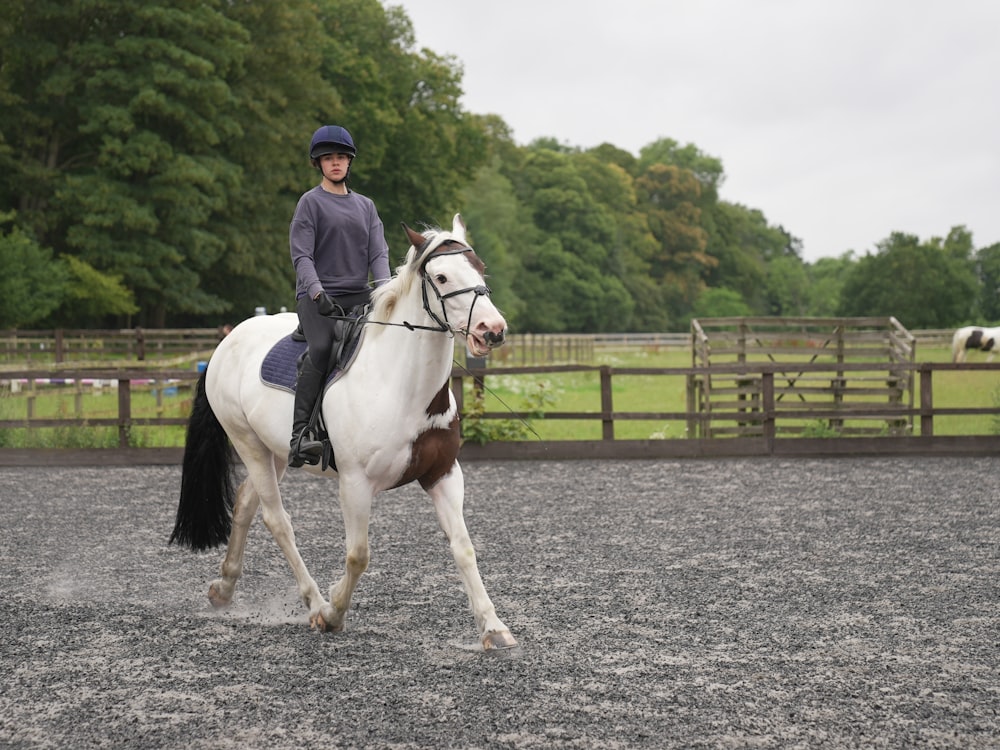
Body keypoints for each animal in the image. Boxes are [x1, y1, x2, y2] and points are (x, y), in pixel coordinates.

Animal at [169, 213, 516, 652]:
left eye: (479, 268)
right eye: (440, 277)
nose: (492, 329)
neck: (400, 386)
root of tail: (228, 341)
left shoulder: (443, 474)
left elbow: (464, 548)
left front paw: (493, 627)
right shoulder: (355, 483)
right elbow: (358, 555)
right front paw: (333, 612)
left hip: (274, 450)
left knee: (246, 503)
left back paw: (224, 588)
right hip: (246, 442)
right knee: (276, 519)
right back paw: (315, 603)